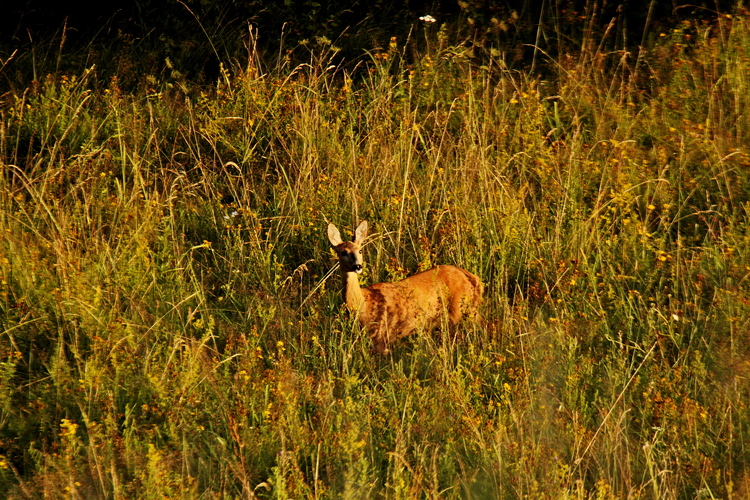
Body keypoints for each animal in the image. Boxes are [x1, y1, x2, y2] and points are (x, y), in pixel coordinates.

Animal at [328, 221, 488, 354]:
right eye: (343, 252)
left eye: (360, 250)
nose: (358, 266)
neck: (364, 304)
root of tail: (474, 278)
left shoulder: (382, 337)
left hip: (459, 311)